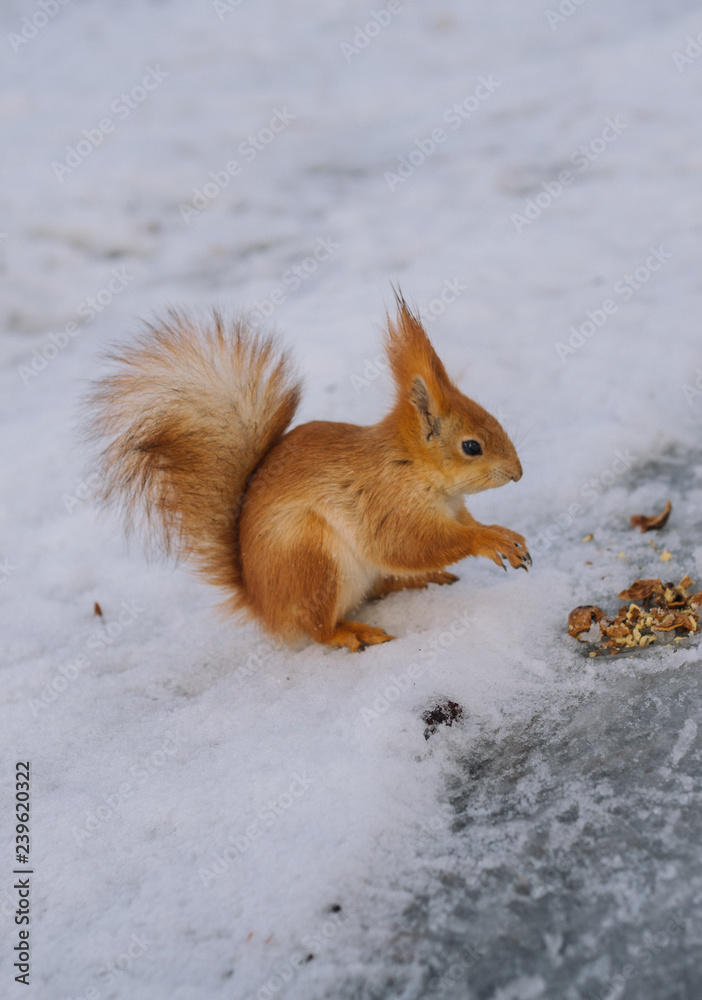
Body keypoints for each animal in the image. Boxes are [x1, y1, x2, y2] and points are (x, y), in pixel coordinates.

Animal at [85, 294, 529, 652]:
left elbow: (459, 525)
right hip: (311, 558)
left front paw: (503, 535)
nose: (518, 473)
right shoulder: (387, 502)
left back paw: (418, 581)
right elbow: (410, 544)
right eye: (471, 447)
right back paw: (352, 632)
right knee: (318, 628)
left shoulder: (452, 507)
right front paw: (488, 540)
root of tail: (263, 606)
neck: (414, 466)